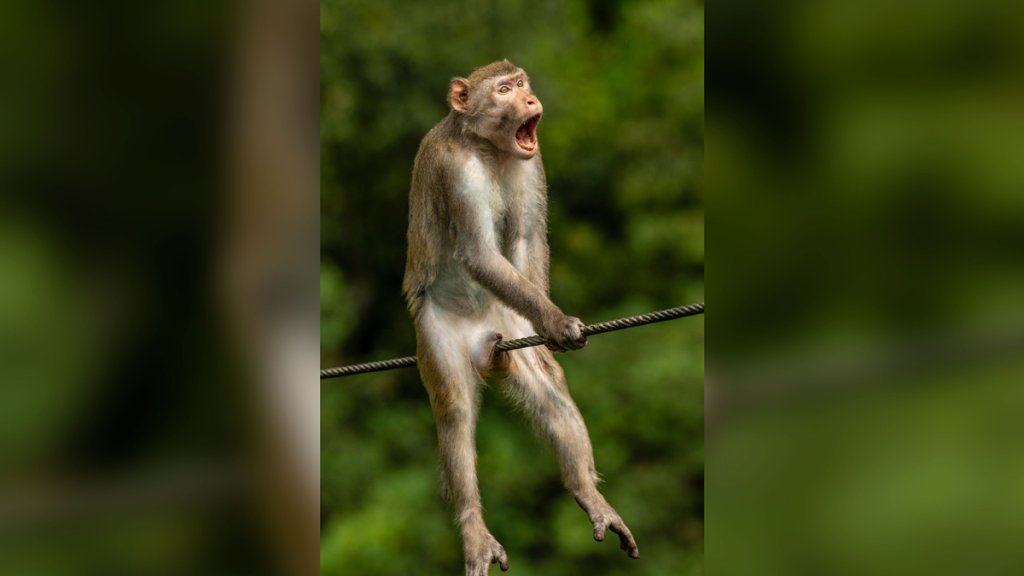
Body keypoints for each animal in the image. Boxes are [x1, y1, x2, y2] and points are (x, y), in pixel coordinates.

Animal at [403, 60, 639, 575]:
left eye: (523, 84)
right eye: (504, 89)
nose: (529, 100)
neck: (488, 149)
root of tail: (482, 340)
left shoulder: (533, 162)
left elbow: (528, 237)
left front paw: (549, 326)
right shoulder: (455, 170)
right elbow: (479, 254)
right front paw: (557, 322)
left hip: (508, 323)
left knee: (548, 391)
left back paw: (588, 494)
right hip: (437, 333)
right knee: (454, 409)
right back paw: (473, 528)